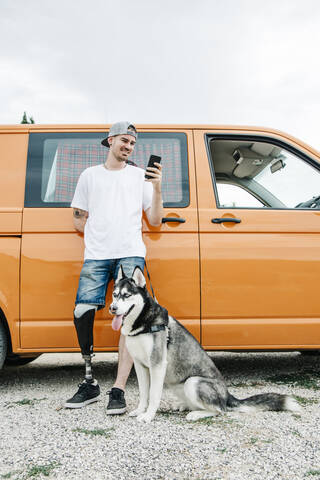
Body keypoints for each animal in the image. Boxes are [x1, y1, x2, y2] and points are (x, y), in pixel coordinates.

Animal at [109, 266, 300, 424]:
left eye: (126, 295)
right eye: (115, 294)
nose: (112, 308)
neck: (143, 323)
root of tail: (227, 395)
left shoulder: (157, 365)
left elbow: (154, 395)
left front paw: (148, 415)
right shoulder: (140, 365)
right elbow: (144, 394)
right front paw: (140, 410)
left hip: (192, 382)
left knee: (220, 410)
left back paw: (196, 414)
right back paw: (184, 406)